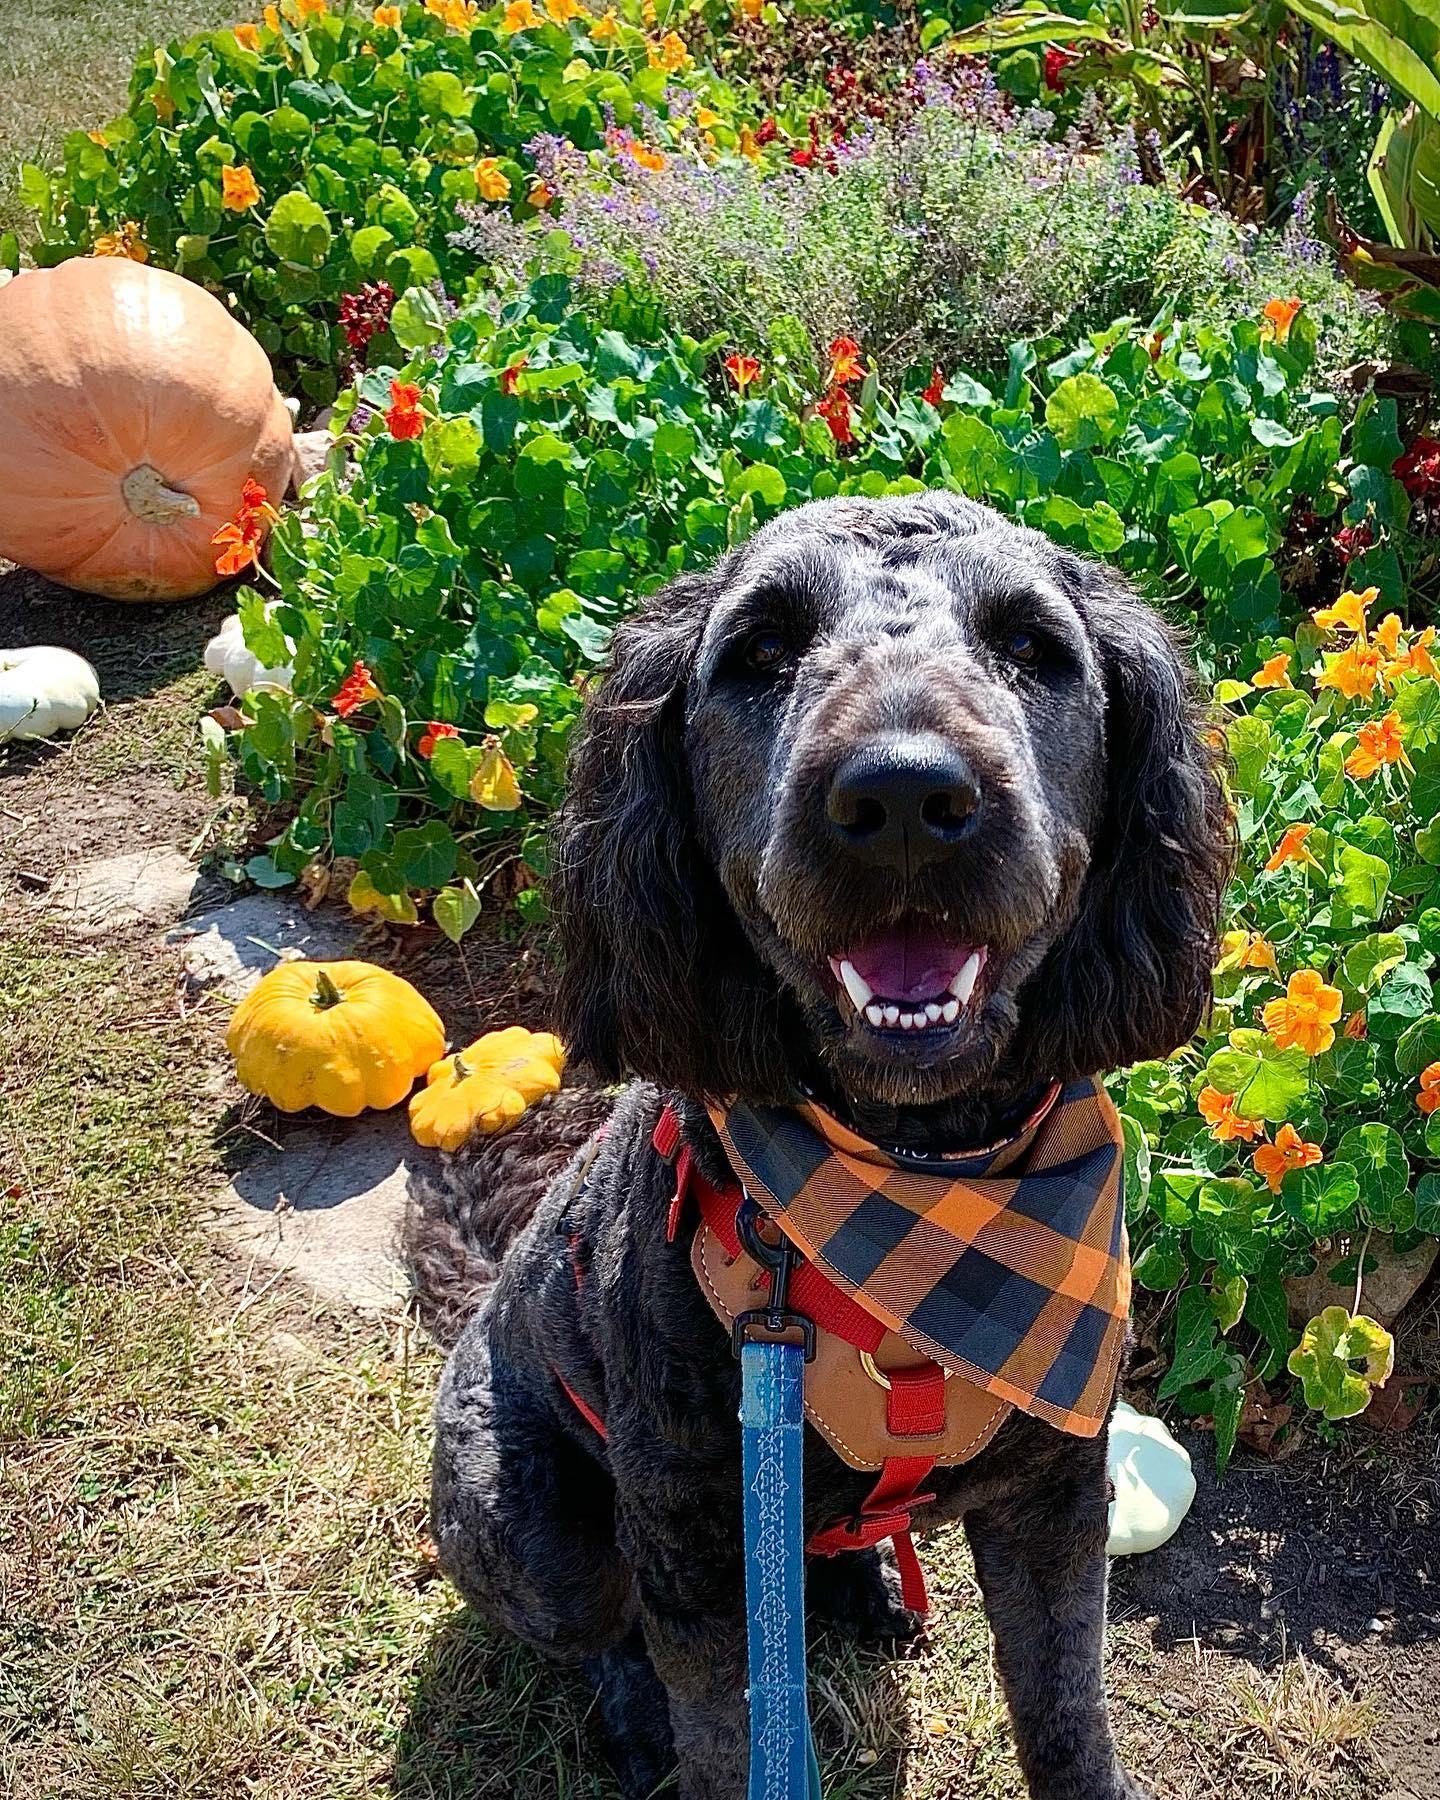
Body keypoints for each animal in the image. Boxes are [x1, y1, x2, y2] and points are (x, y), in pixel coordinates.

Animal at [410, 493, 1231, 1800]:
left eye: (1031, 646)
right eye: (760, 651)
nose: (902, 797)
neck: (920, 1186)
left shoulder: (1054, 1501)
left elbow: (1067, 1711)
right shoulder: (696, 1550)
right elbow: (722, 1727)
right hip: (529, 1521)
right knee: (600, 1634)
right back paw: (635, 1712)